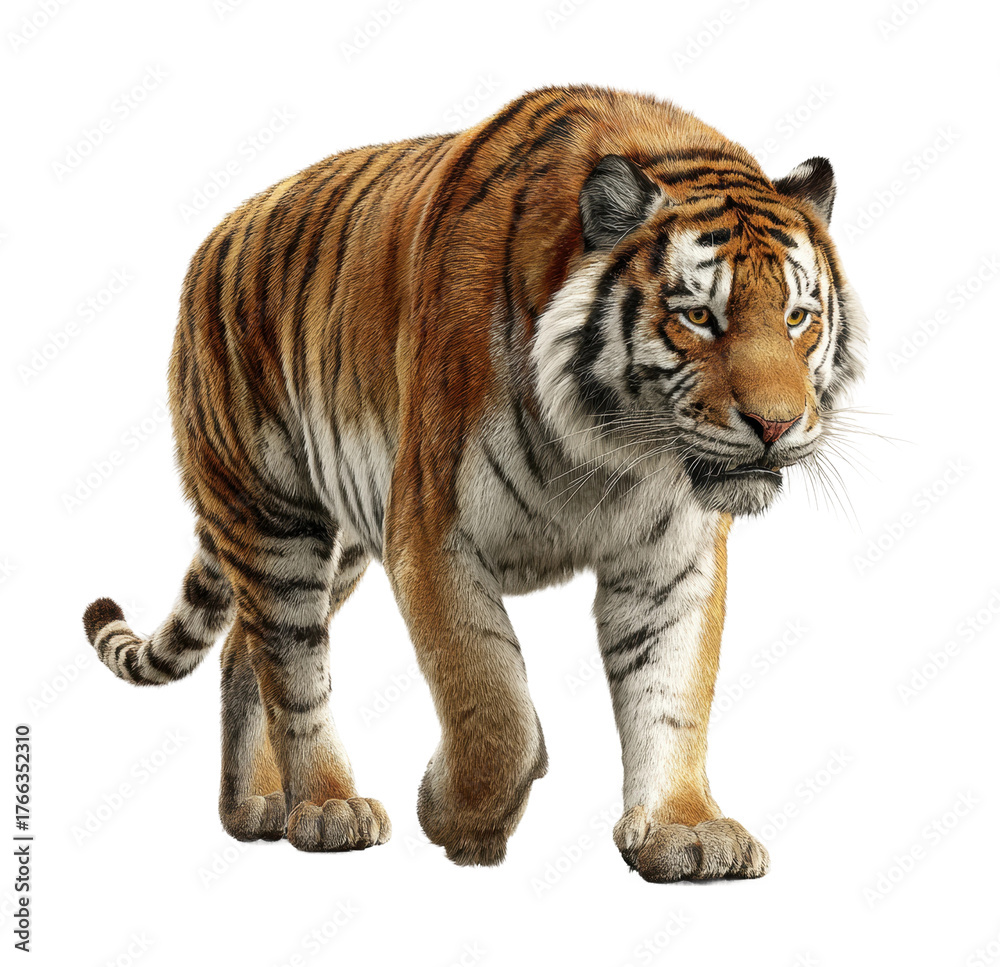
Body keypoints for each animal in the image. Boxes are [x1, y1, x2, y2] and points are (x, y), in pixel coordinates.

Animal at [82, 84, 865, 882]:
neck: (610, 449)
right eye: (700, 317)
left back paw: (257, 809)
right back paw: (328, 807)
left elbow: (672, 692)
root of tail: (217, 237)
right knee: (290, 660)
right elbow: (492, 701)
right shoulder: (432, 532)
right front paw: (458, 820)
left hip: (344, 540)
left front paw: (687, 827)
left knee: (244, 647)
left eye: (798, 317)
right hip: (272, 515)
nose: (776, 423)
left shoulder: (669, 559)